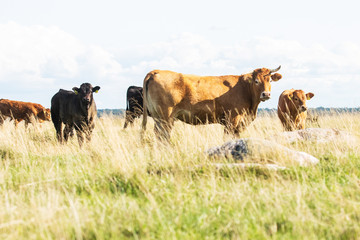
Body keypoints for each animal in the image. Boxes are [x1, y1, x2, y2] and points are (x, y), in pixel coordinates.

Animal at [142, 66, 282, 141]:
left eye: (270, 80)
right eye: (256, 81)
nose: (266, 94)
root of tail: (156, 71)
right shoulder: (232, 119)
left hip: (158, 117)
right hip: (166, 117)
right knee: (163, 135)